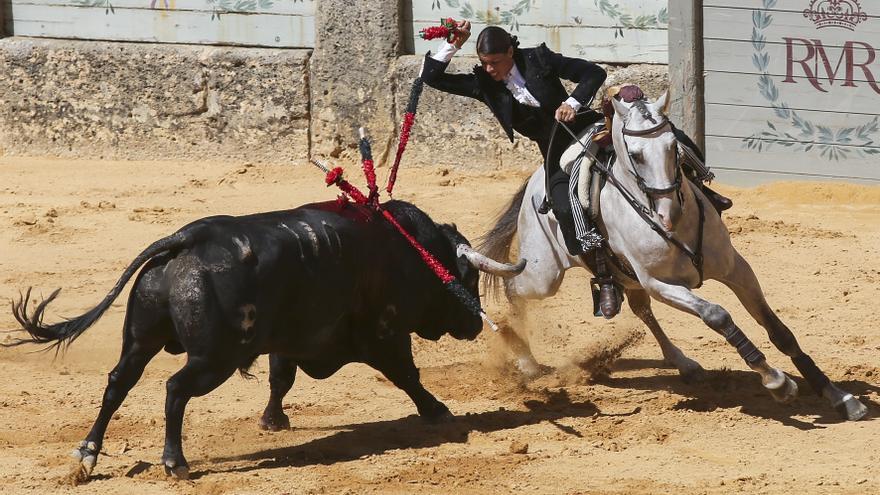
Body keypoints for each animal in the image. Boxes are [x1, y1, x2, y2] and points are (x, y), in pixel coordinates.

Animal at [10, 200, 520, 482]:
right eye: (467, 279)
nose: (476, 325)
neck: (412, 249)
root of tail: (187, 238)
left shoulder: (288, 341)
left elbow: (281, 378)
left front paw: (273, 421)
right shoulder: (384, 333)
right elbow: (408, 376)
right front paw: (439, 411)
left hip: (141, 339)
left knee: (118, 383)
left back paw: (86, 455)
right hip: (213, 359)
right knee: (174, 389)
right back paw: (175, 462)